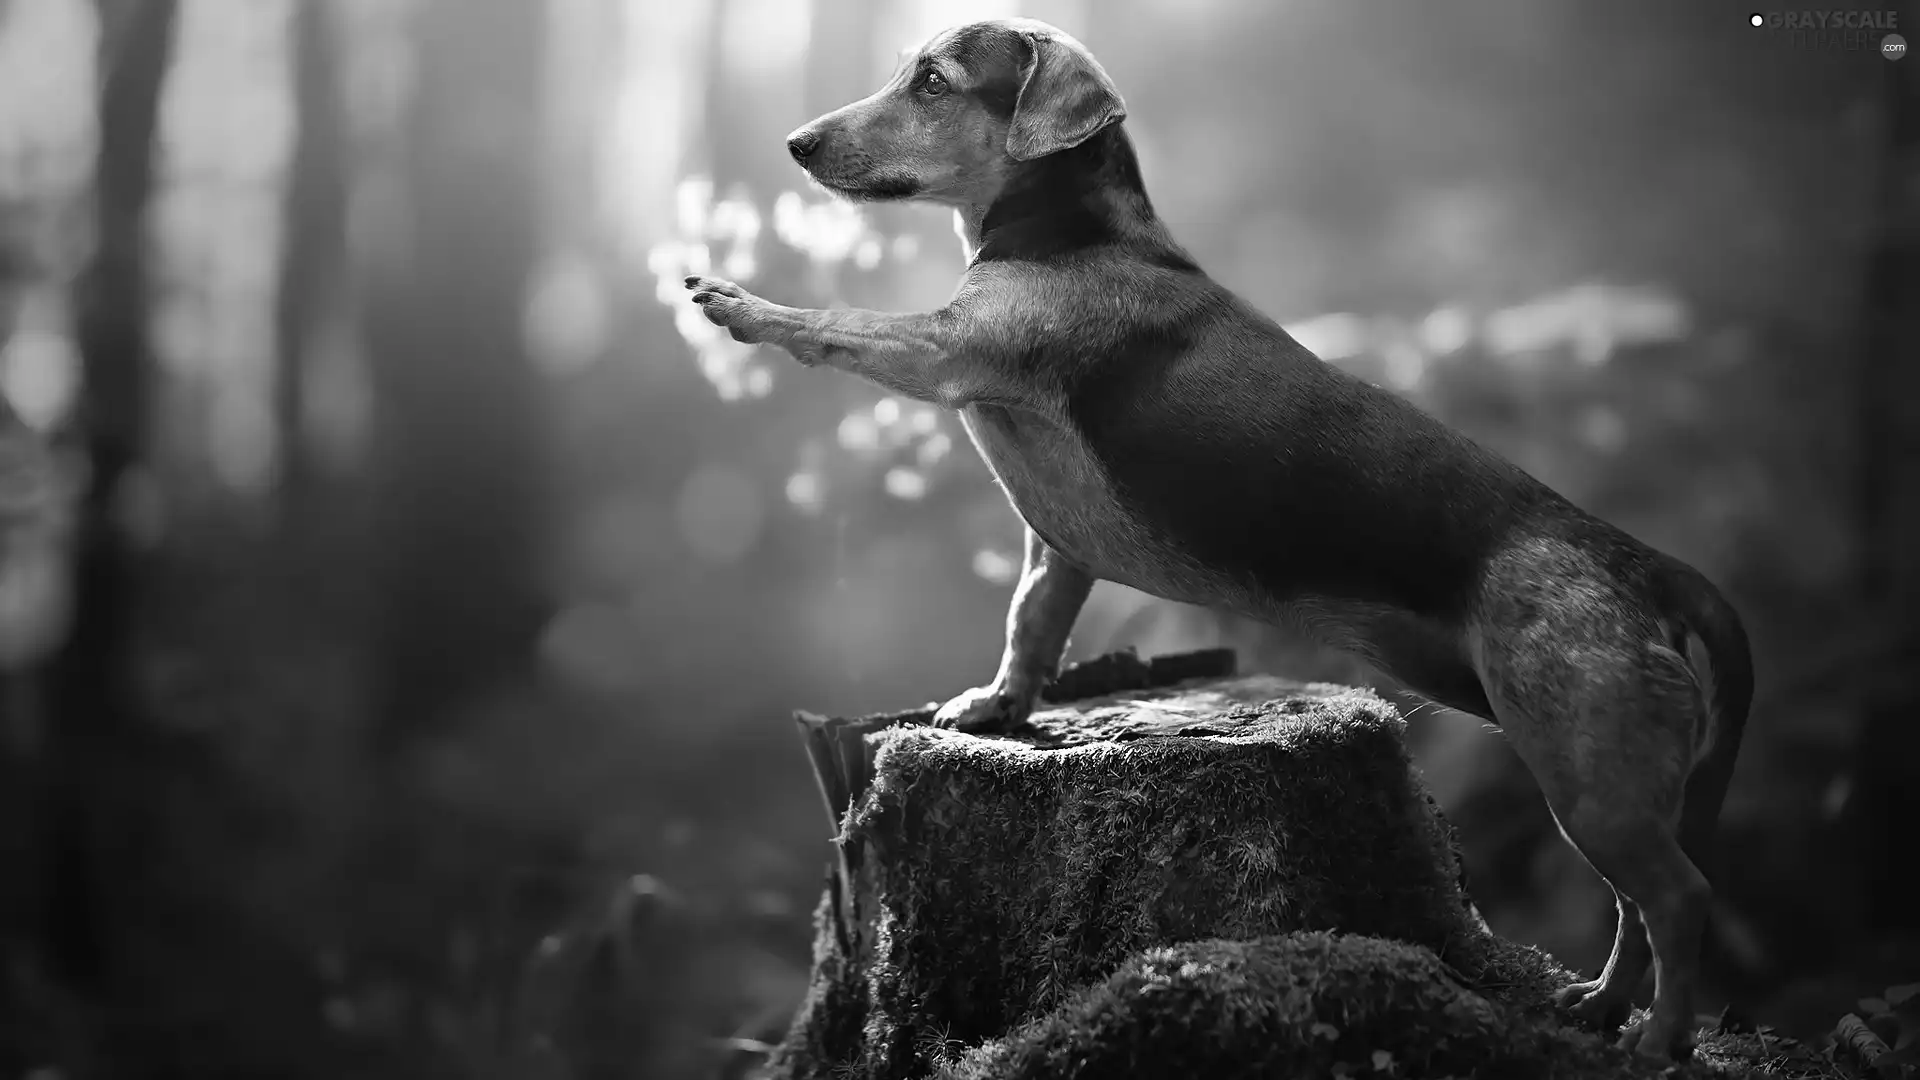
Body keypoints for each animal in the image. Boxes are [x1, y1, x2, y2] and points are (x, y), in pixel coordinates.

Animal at [683, 16, 1751, 1060]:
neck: (1071, 227)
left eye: (934, 81)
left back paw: (1660, 1041)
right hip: (1586, 766)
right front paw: (998, 704)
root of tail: (1645, 566)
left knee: (1681, 897)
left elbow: (835, 323)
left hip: (1588, 767)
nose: (798, 144)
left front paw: (740, 304)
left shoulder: (942, 347)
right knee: (1638, 905)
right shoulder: (1056, 546)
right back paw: (1601, 1008)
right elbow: (1030, 623)